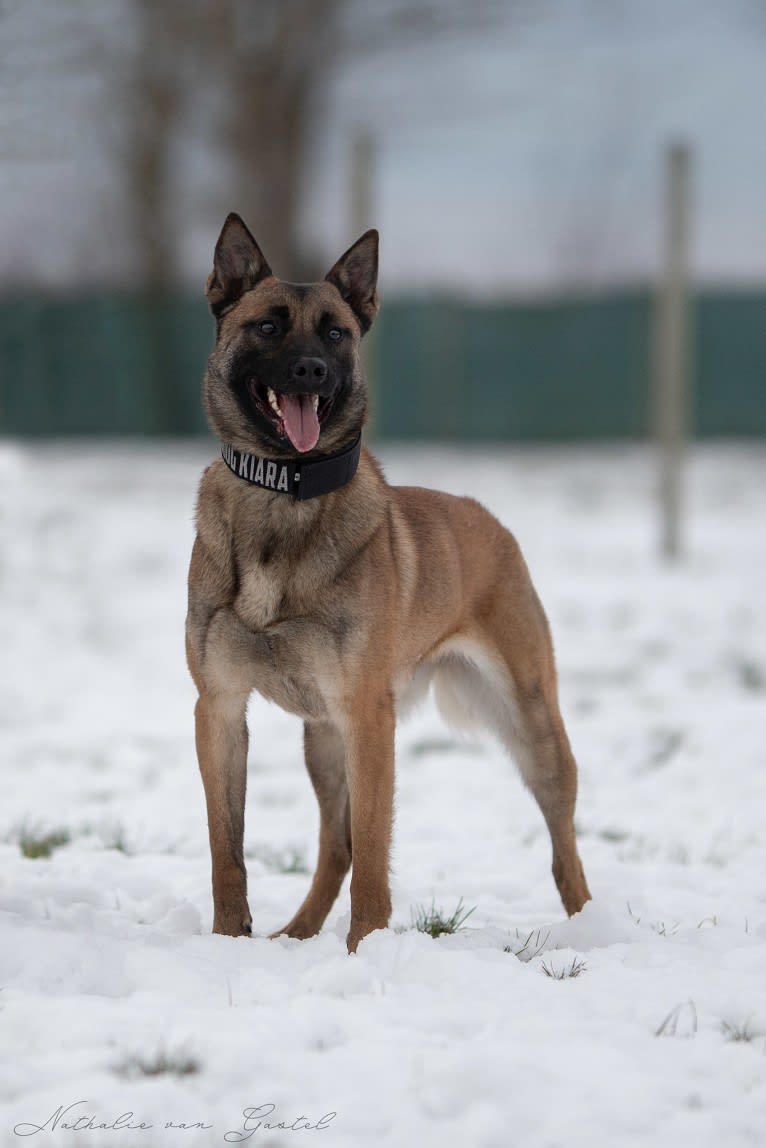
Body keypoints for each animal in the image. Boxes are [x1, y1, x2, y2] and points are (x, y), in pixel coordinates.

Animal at [186, 213, 592, 950]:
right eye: (268, 325)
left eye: (335, 332)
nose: (313, 370)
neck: (283, 497)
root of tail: (489, 520)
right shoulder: (221, 711)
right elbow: (227, 849)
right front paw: (230, 942)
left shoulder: (367, 719)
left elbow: (375, 853)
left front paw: (366, 951)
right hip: (324, 742)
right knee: (334, 844)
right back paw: (298, 933)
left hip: (531, 725)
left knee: (561, 843)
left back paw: (589, 925)